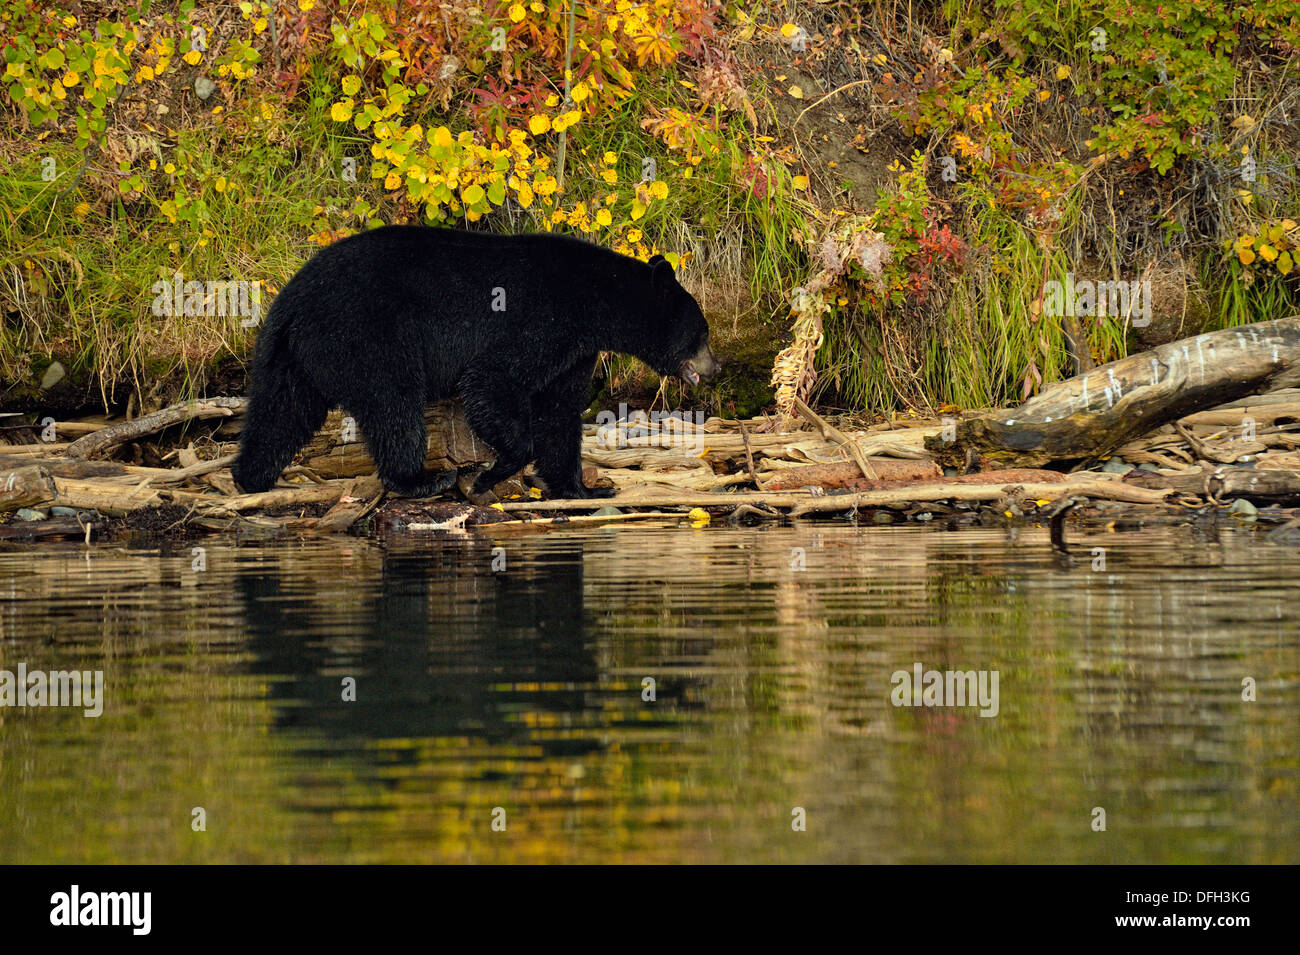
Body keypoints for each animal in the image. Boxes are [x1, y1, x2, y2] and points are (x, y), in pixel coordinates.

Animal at [233, 226, 722, 501]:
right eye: (702, 332)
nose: (716, 367)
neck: (594, 303)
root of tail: (292, 300)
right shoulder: (540, 321)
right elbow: (492, 380)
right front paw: (490, 475)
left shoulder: (573, 351)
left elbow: (559, 411)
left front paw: (583, 487)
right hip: (366, 333)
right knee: (394, 402)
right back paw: (420, 480)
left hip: (292, 354)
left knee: (280, 411)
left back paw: (249, 477)